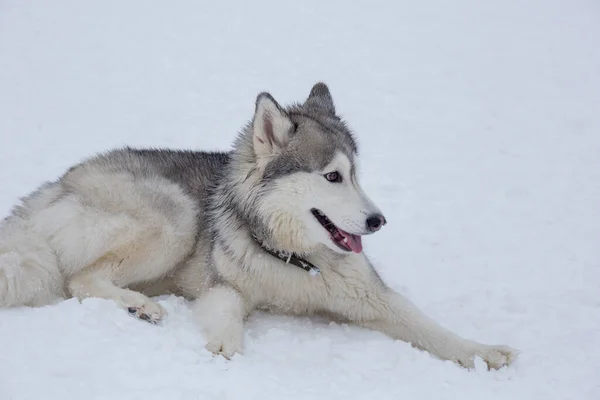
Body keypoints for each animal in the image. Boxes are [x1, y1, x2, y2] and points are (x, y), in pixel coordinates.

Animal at [0, 82, 516, 368]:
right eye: (332, 176)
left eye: (356, 175)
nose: (378, 221)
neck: (296, 260)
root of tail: (59, 183)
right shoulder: (222, 286)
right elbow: (227, 311)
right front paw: (225, 346)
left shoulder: (368, 294)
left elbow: (429, 327)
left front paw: (481, 352)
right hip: (176, 215)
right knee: (79, 279)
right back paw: (138, 305)